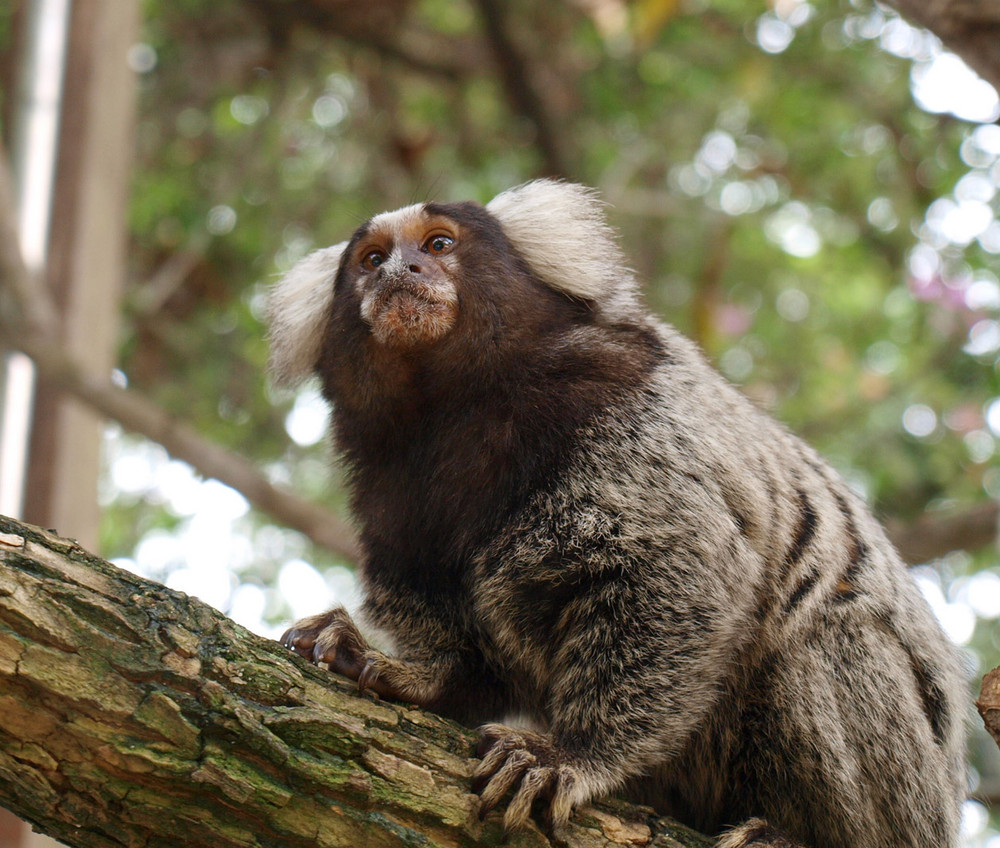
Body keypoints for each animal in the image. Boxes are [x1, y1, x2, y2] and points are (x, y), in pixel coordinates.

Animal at [270, 181, 964, 848]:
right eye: (371, 260)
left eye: (439, 244)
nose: (400, 271)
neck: (455, 406)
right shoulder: (391, 481)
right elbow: (456, 641)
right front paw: (407, 672)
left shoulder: (625, 405)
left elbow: (672, 573)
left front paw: (572, 756)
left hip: (908, 795)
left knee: (824, 634)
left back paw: (791, 833)